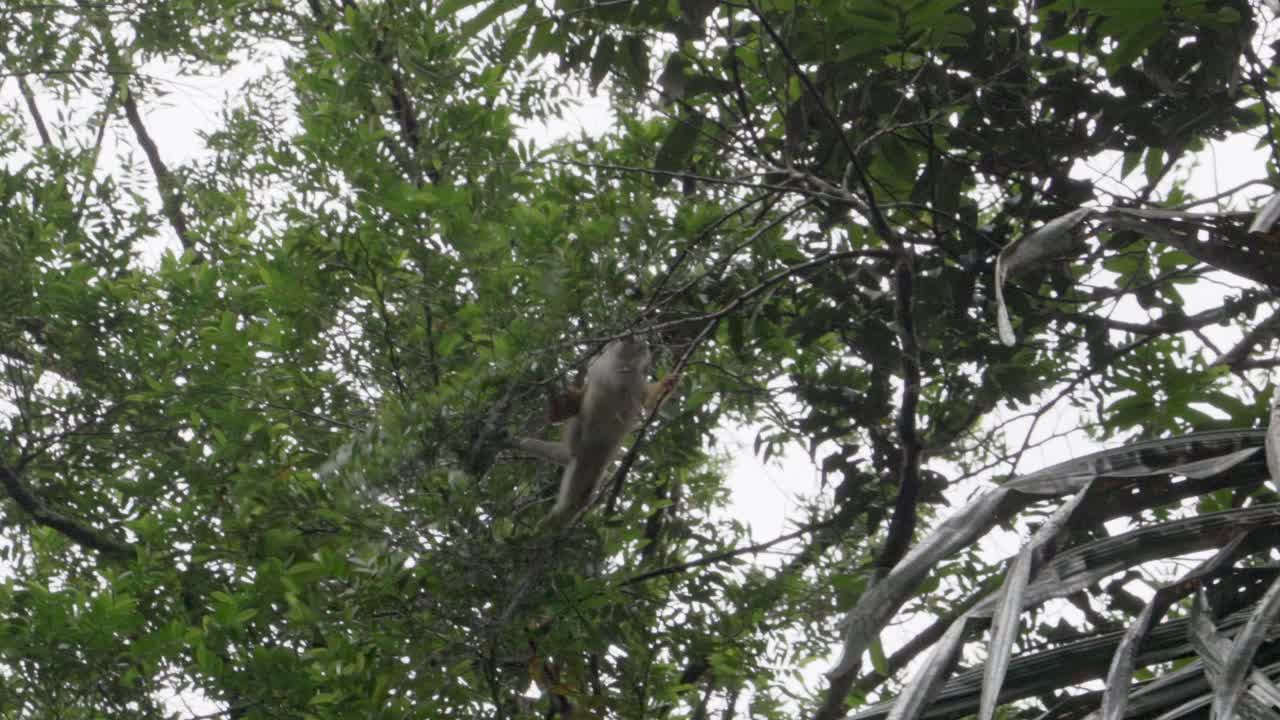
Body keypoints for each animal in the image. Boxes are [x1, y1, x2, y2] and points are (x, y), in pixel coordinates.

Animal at [512, 335, 680, 527]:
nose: (630, 337)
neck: (620, 368)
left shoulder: (637, 382)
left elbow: (650, 402)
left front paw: (667, 383)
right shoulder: (597, 370)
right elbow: (578, 401)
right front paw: (560, 403)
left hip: (595, 464)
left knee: (580, 496)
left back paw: (555, 522)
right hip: (579, 454)